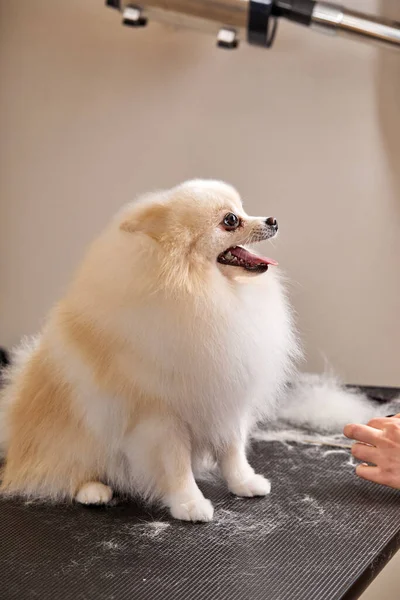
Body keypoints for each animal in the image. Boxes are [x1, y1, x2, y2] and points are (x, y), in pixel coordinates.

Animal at [0, 178, 300, 520]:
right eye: (231, 220)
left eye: (243, 209)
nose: (272, 220)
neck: (206, 292)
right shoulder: (160, 416)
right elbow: (177, 465)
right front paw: (189, 504)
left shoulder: (224, 397)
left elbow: (232, 451)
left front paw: (244, 483)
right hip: (75, 438)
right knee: (62, 473)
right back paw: (93, 490)